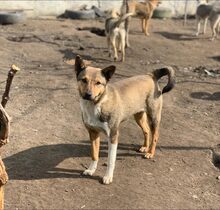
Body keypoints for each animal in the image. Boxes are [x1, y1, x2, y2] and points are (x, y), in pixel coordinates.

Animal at [75, 55, 175, 185]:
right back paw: (144, 147)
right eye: (84, 80)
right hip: (138, 116)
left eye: (98, 83)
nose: (88, 94)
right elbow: (94, 154)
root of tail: (150, 75)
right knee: (146, 130)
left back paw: (150, 153)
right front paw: (91, 170)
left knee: (155, 134)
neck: (96, 104)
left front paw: (108, 177)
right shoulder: (93, 133)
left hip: (154, 116)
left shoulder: (113, 135)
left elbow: (111, 160)